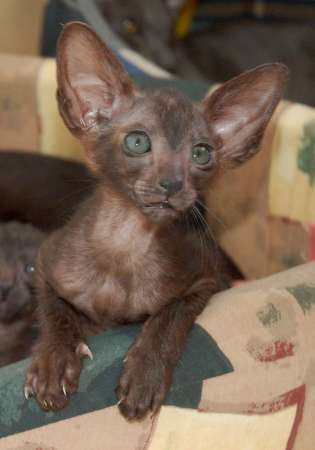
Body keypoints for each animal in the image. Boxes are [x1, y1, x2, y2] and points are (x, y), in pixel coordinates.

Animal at [23, 21, 288, 420]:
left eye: (201, 153)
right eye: (137, 143)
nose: (172, 183)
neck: (125, 243)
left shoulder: (207, 278)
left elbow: (169, 316)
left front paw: (144, 375)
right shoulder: (44, 263)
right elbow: (54, 313)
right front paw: (53, 364)